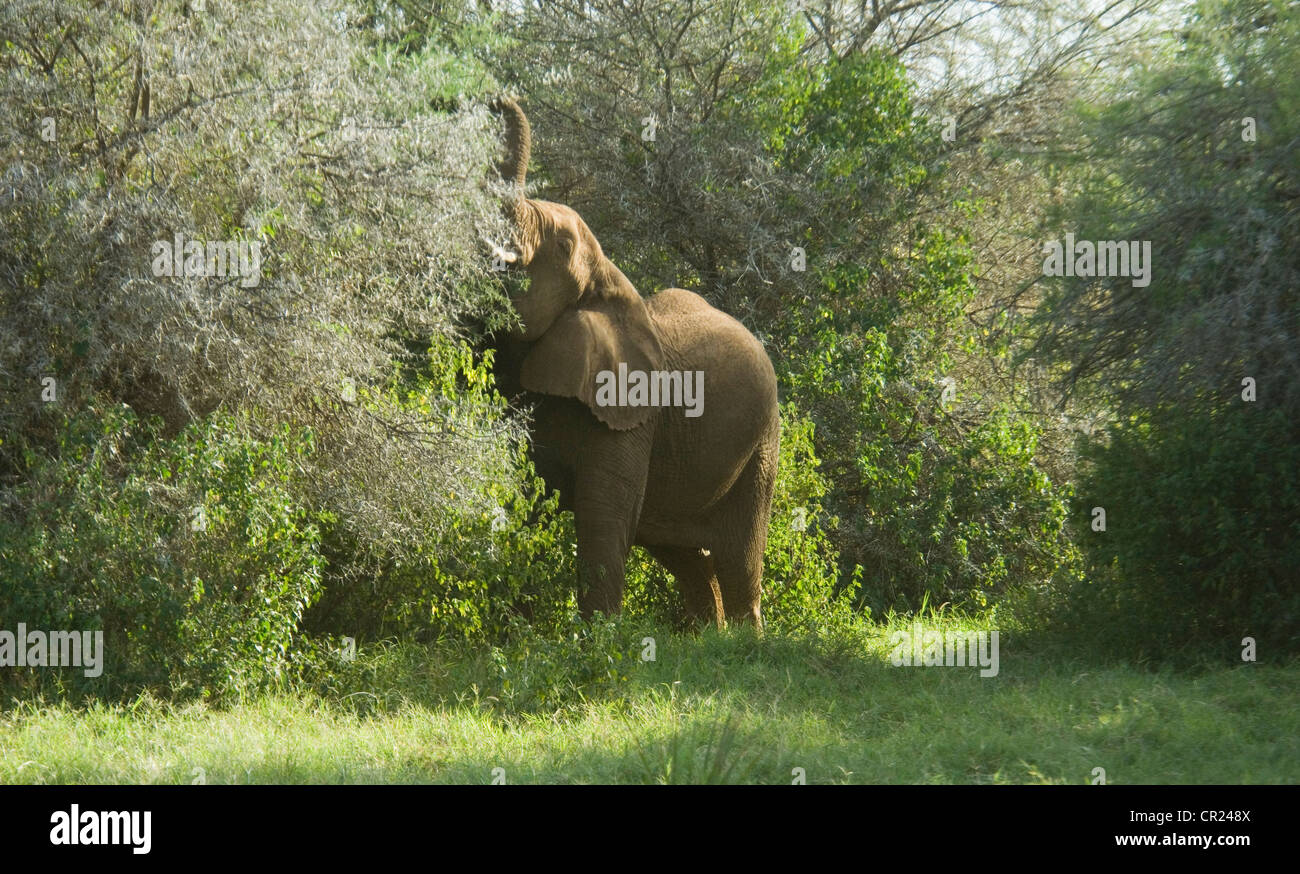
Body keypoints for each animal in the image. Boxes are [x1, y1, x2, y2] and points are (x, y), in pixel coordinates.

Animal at [483, 97, 774, 629]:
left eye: (561, 247)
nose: (498, 98)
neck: (607, 278)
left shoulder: (634, 412)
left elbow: (604, 516)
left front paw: (596, 638)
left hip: (762, 446)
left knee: (737, 558)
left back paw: (745, 639)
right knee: (681, 554)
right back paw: (707, 636)